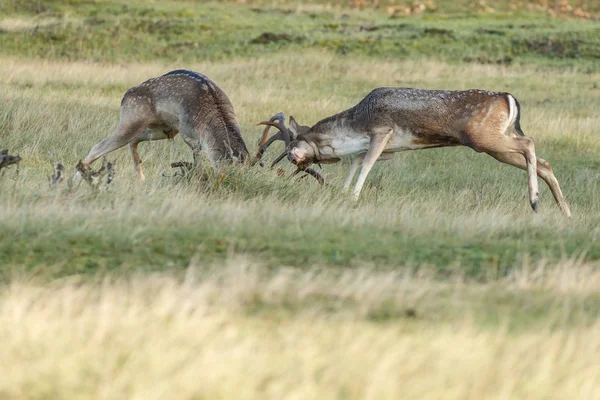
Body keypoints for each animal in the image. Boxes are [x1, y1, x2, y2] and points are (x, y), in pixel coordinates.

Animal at [256, 87, 572, 216]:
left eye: (292, 145)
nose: (294, 159)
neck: (357, 125)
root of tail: (510, 99)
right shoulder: (392, 148)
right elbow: (357, 160)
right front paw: (343, 192)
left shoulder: (382, 131)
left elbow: (365, 163)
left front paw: (354, 197)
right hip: (497, 142)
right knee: (544, 162)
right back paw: (565, 212)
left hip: (485, 139)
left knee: (530, 143)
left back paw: (534, 201)